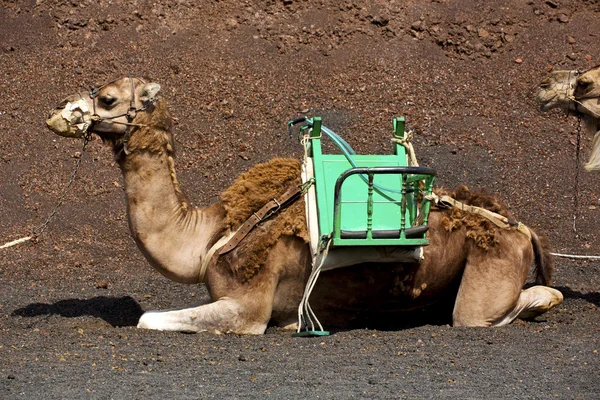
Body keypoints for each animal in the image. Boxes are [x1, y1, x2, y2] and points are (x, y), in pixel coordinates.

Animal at [45, 76, 564, 332]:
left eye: (107, 98)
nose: (56, 114)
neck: (205, 237)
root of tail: (520, 227)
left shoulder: (247, 307)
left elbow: (145, 318)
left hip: (489, 274)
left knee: (491, 311)